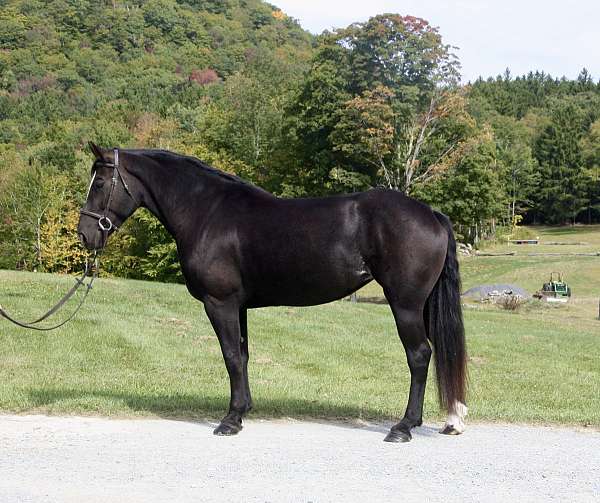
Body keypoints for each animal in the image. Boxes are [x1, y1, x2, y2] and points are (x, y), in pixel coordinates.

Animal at [77, 144, 466, 442]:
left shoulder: (220, 304)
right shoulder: (239, 306)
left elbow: (231, 357)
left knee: (419, 356)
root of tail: (431, 213)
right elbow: (243, 357)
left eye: (100, 182)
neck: (207, 212)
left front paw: (230, 421)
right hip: (422, 306)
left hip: (406, 305)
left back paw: (403, 427)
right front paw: (243, 411)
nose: (84, 235)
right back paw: (452, 419)